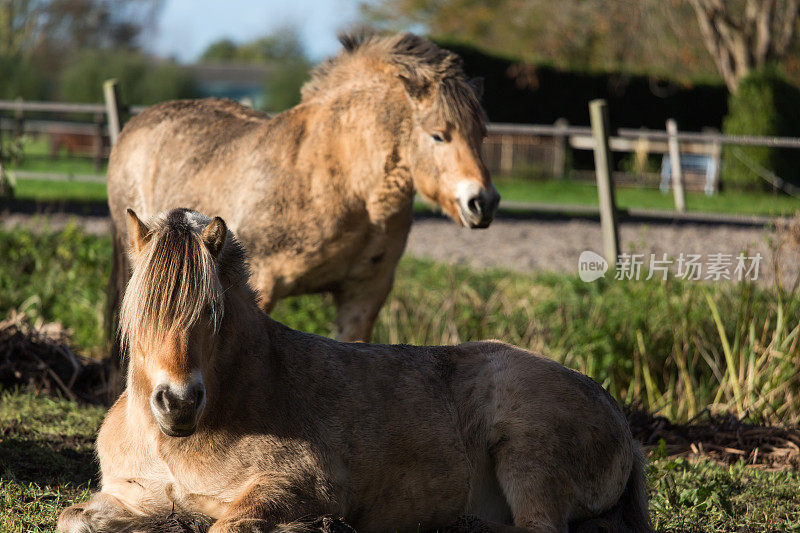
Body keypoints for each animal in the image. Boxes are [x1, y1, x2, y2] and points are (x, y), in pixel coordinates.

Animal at [59, 207, 652, 532]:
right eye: (142, 309)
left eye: (213, 312)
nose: (178, 402)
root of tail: (617, 414)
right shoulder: (130, 492)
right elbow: (74, 519)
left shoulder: (300, 485)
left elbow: (228, 526)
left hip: (525, 445)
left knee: (538, 527)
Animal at [104, 31, 496, 344]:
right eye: (438, 135)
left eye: (482, 134)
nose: (484, 202)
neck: (339, 179)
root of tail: (134, 125)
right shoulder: (263, 284)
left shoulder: (364, 294)